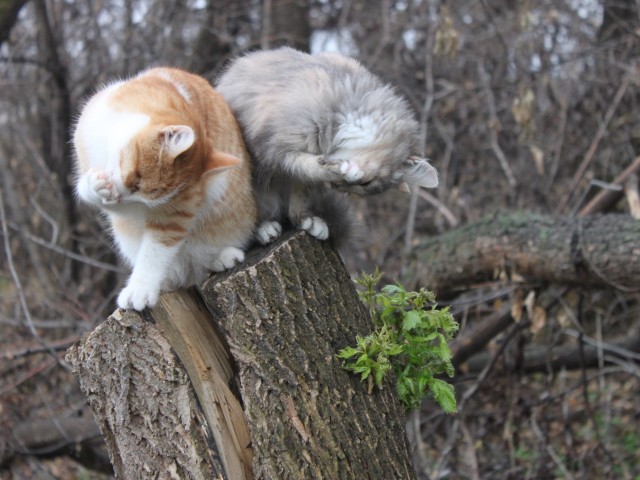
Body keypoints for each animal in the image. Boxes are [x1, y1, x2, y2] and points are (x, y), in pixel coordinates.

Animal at [73, 66, 258, 312]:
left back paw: (223, 257)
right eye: (136, 181)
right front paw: (97, 186)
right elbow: (91, 193)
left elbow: (154, 252)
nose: (120, 197)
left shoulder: (175, 213)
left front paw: (140, 290)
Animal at [218, 47, 438, 248]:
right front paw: (338, 168)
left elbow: (299, 193)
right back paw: (265, 230)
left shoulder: (294, 173)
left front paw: (306, 220)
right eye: (366, 183)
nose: (338, 187)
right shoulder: (275, 149)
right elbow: (309, 166)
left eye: (356, 191)